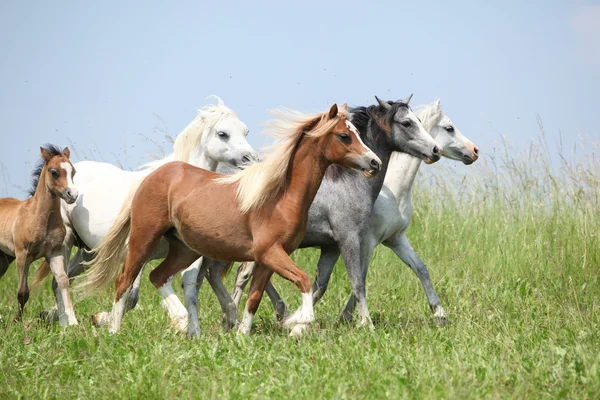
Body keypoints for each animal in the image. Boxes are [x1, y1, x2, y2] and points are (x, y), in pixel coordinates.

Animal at [0, 145, 79, 326]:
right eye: (54, 172)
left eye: (73, 171)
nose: (72, 195)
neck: (40, 218)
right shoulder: (23, 256)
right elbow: (23, 291)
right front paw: (17, 322)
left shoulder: (54, 253)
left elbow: (63, 281)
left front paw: (72, 321)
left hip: (4, 258)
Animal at [78, 101, 380, 336]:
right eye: (344, 136)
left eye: (356, 133)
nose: (375, 162)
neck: (278, 198)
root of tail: (151, 176)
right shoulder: (271, 252)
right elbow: (305, 281)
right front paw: (296, 322)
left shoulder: (266, 259)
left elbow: (254, 298)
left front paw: (242, 335)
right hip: (144, 238)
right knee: (124, 280)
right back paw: (116, 330)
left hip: (184, 249)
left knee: (158, 276)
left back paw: (182, 323)